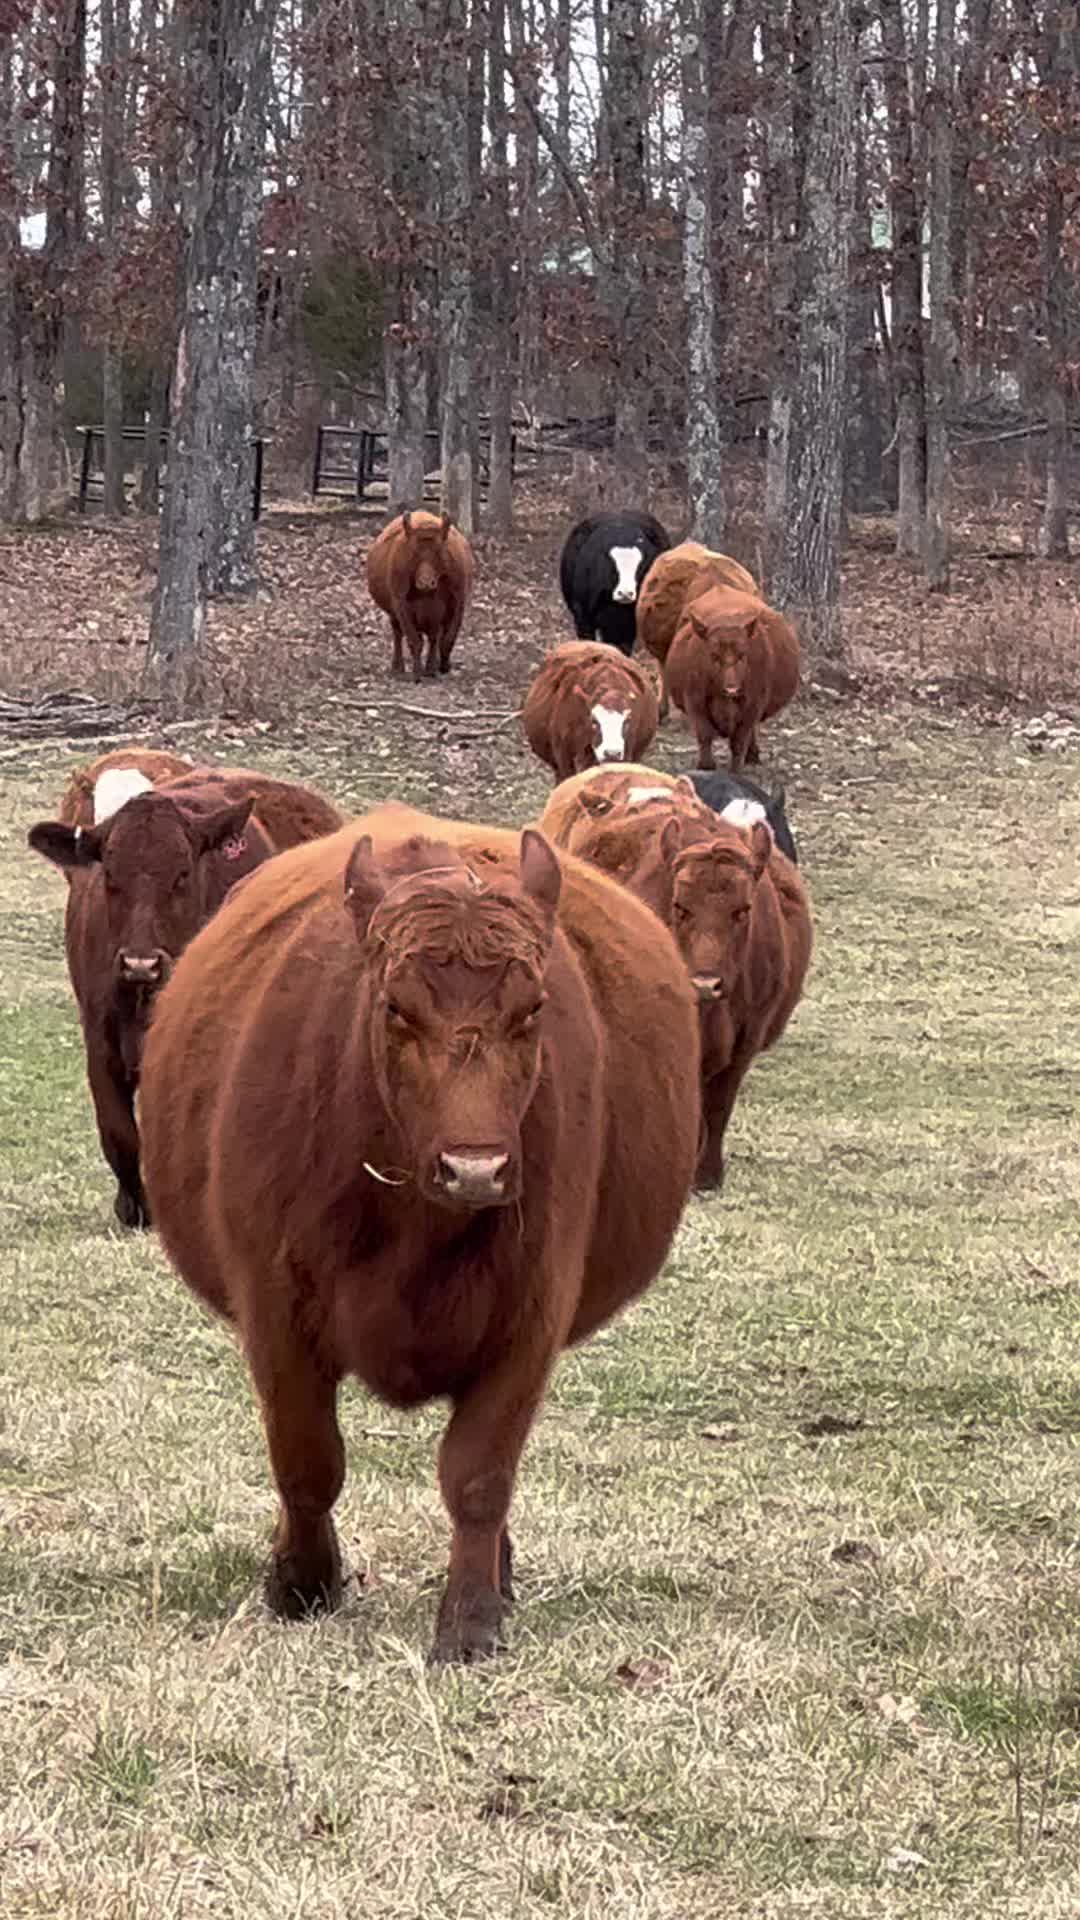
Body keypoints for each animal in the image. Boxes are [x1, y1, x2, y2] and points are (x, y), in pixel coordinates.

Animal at [28, 768, 342, 1230]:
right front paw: (133, 1208)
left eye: (182, 874)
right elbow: (119, 1133)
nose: (141, 963)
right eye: (110, 876)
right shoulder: (100, 1042)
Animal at [136, 806, 702, 1663]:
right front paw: (302, 1580)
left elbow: (479, 1475)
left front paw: (470, 1616)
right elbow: (307, 1460)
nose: (475, 1169)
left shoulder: (531, 1317)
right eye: (396, 1009)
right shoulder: (275, 1312)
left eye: (532, 1010)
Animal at [366, 509, 474, 681]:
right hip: (394, 614)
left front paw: (441, 667)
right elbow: (414, 640)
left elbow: (446, 640)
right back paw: (398, 667)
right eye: (414, 552)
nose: (426, 583)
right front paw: (417, 672)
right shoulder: (401, 606)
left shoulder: (457, 604)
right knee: (398, 633)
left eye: (438, 550)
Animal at [539, 777, 812, 1190]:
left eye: (743, 910)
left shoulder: (745, 1041)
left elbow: (719, 1105)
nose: (706, 983)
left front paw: (708, 1174)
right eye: (680, 906)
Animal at [666, 583, 800, 773]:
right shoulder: (694, 701)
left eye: (742, 655)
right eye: (714, 656)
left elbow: (739, 741)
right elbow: (704, 734)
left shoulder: (753, 706)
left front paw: (736, 769)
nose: (732, 688)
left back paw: (752, 755)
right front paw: (706, 765)